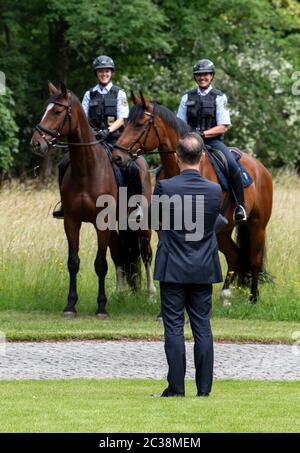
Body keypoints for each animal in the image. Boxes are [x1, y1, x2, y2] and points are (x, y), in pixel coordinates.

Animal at [30, 84, 154, 318]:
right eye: (44, 109)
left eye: (57, 111)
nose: (36, 143)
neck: (87, 169)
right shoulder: (71, 221)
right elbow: (73, 262)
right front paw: (70, 305)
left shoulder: (102, 223)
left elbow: (100, 264)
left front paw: (101, 307)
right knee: (118, 255)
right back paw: (120, 294)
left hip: (140, 225)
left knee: (146, 255)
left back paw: (151, 295)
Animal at [112, 92, 272, 304]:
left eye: (138, 124)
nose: (117, 157)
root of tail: (261, 169)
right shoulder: (165, 228)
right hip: (224, 232)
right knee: (234, 256)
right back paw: (225, 296)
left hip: (256, 225)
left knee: (254, 259)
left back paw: (253, 298)